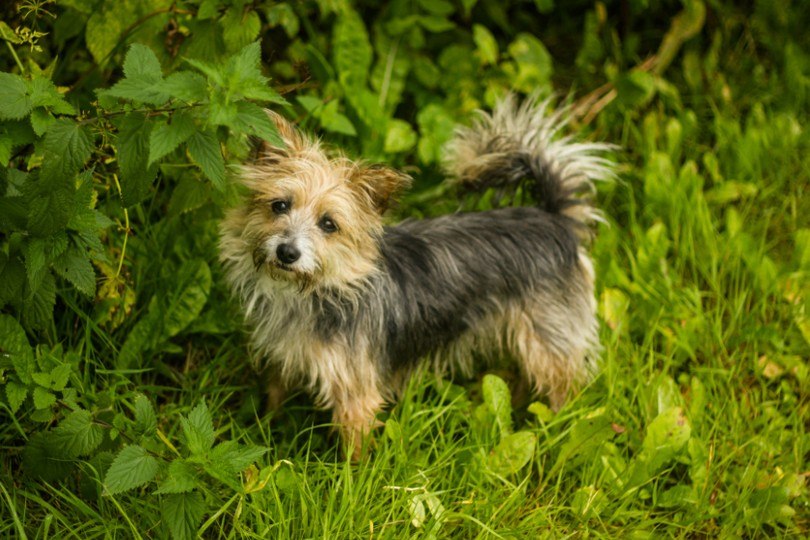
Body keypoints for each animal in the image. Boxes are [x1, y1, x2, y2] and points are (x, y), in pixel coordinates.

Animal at [219, 96, 612, 456]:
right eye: (279, 205)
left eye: (328, 224)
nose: (287, 252)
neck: (315, 291)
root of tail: (556, 219)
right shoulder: (281, 361)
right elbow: (274, 401)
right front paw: (265, 434)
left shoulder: (357, 395)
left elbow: (354, 451)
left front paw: (348, 478)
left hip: (549, 342)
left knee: (563, 389)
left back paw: (557, 431)